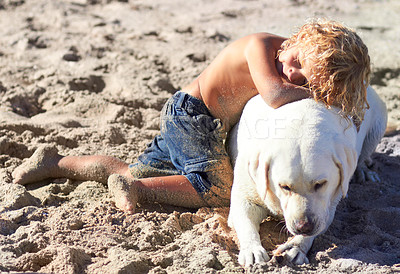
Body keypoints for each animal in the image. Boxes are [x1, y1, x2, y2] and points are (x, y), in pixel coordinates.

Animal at [228, 86, 388, 266]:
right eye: (284, 186)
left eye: (320, 184)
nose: (303, 227)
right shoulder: (248, 186)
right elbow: (244, 219)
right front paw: (252, 250)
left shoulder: (328, 204)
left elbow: (321, 220)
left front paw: (296, 246)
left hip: (378, 122)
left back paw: (364, 171)